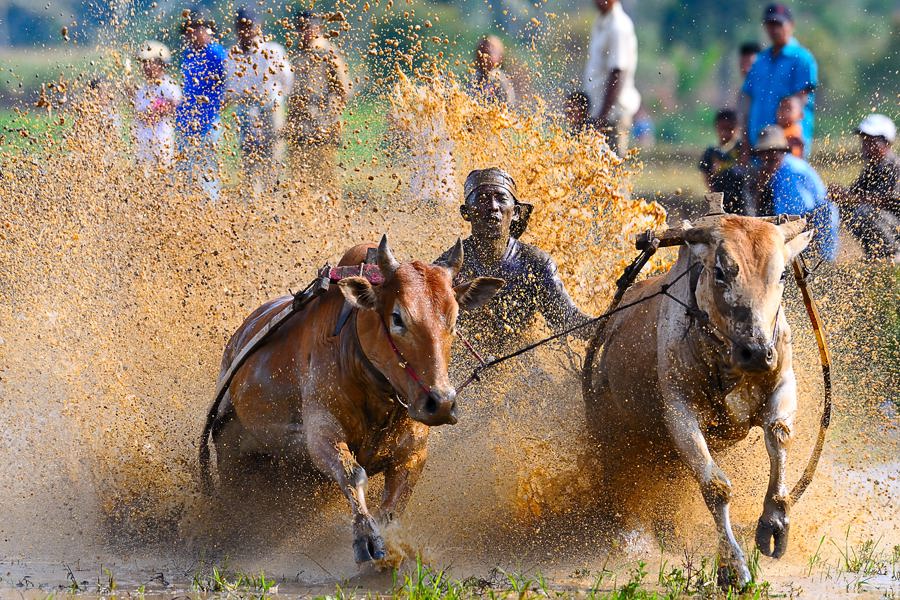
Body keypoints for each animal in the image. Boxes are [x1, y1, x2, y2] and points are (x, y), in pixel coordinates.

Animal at [584, 214, 816, 584]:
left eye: (781, 274)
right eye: (720, 271)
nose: (756, 352)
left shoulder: (783, 382)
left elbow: (779, 436)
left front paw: (775, 522)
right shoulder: (680, 412)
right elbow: (716, 486)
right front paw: (733, 567)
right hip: (612, 427)